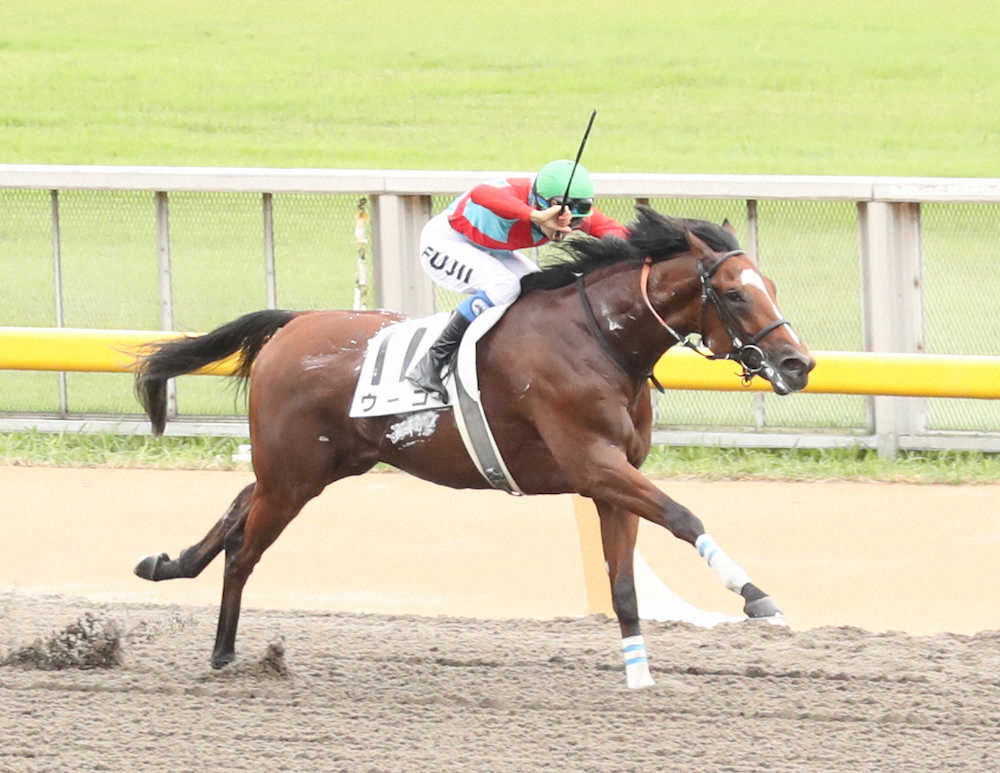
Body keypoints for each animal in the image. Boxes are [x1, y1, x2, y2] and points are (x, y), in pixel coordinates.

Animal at [132, 205, 814, 688]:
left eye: (773, 286)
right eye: (735, 293)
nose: (799, 363)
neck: (600, 339)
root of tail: (294, 323)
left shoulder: (611, 479)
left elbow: (623, 585)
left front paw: (640, 678)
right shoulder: (594, 463)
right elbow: (684, 515)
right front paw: (756, 597)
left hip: (316, 466)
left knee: (238, 510)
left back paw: (167, 566)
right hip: (294, 475)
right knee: (244, 550)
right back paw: (224, 653)